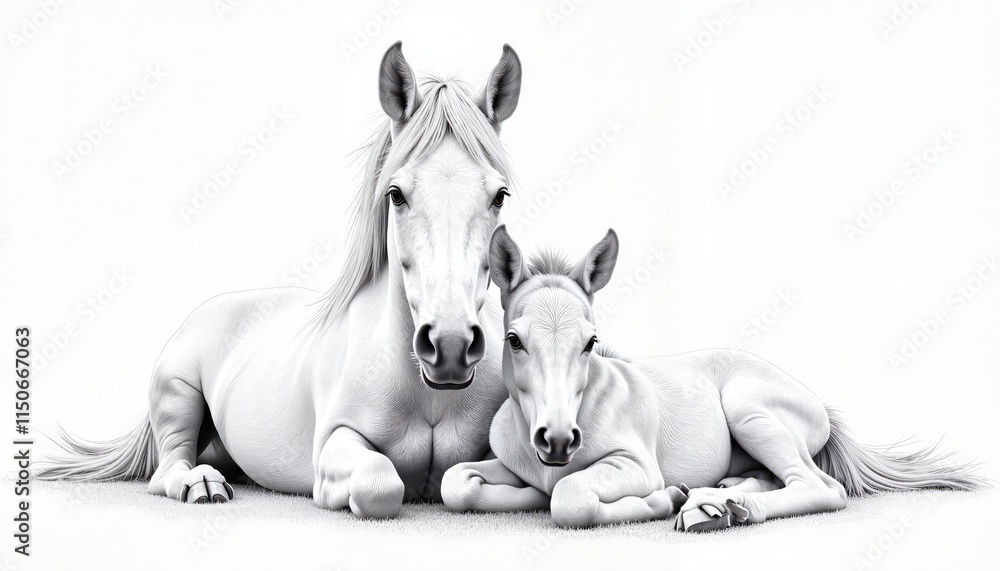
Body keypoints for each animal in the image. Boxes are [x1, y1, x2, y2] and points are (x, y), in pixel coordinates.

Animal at [37, 42, 523, 518]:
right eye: (396, 194)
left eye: (499, 196)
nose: (450, 345)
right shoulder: (334, 446)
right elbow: (379, 483)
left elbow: (463, 480)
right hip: (177, 394)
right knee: (168, 467)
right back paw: (201, 486)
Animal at [441, 225, 981, 529]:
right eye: (514, 340)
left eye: (591, 342)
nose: (556, 441)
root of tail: (819, 404)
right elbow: (455, 483)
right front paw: (528, 492)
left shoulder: (635, 466)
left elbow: (571, 499)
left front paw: (661, 499)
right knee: (774, 478)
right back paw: (715, 499)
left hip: (748, 411)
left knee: (819, 487)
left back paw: (718, 509)